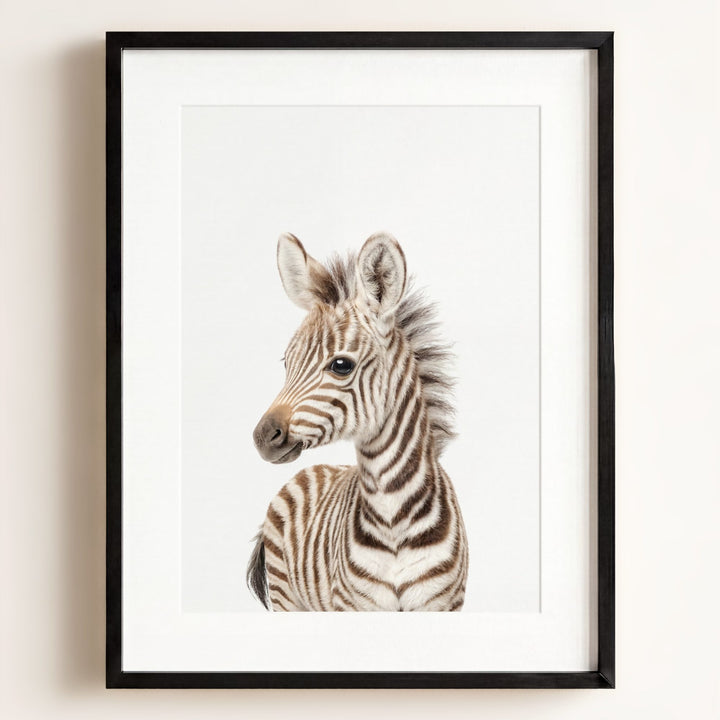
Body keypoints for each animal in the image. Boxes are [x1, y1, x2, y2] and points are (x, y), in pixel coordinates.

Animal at [247, 231, 469, 611]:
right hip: (286, 596)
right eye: (287, 362)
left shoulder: (443, 604)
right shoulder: (354, 605)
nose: (263, 436)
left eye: (341, 365)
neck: (393, 517)